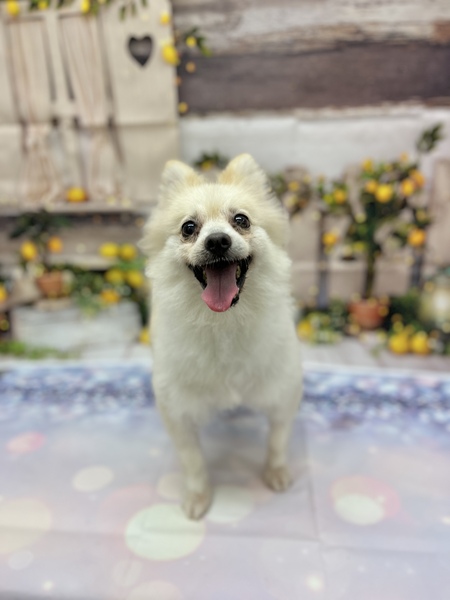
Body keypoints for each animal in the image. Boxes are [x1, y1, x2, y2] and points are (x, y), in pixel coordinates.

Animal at [140, 154, 302, 519]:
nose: (217, 241)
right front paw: (199, 496)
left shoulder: (283, 391)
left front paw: (276, 471)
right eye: (189, 228)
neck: (223, 323)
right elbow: (193, 461)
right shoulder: (177, 410)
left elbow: (278, 439)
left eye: (241, 220)